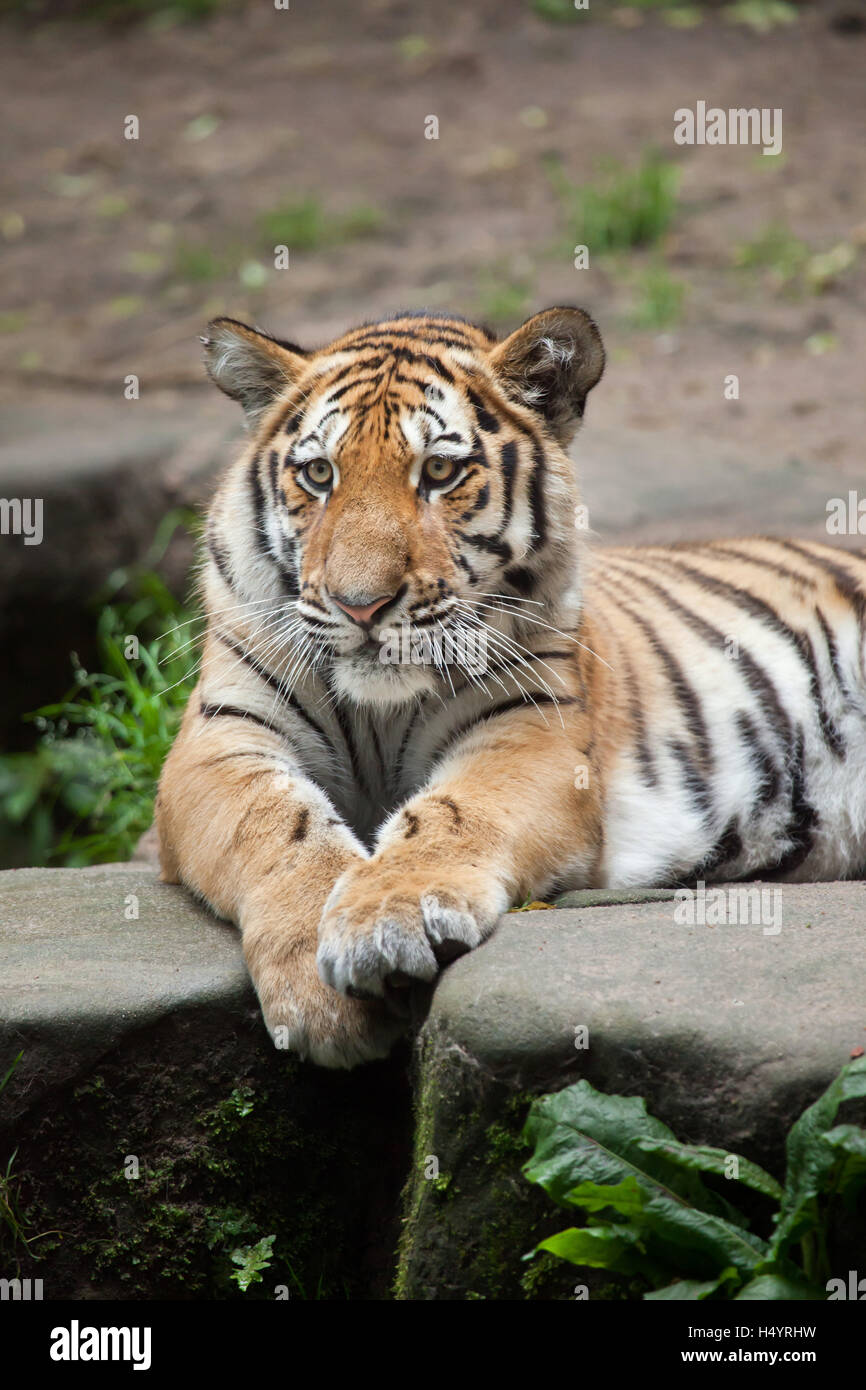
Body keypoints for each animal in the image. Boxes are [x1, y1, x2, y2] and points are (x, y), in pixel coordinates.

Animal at [154, 307, 866, 1061]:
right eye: (319, 474)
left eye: (439, 471)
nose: (360, 606)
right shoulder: (219, 742)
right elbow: (278, 827)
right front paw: (319, 997)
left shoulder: (530, 735)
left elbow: (451, 814)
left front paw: (386, 920)